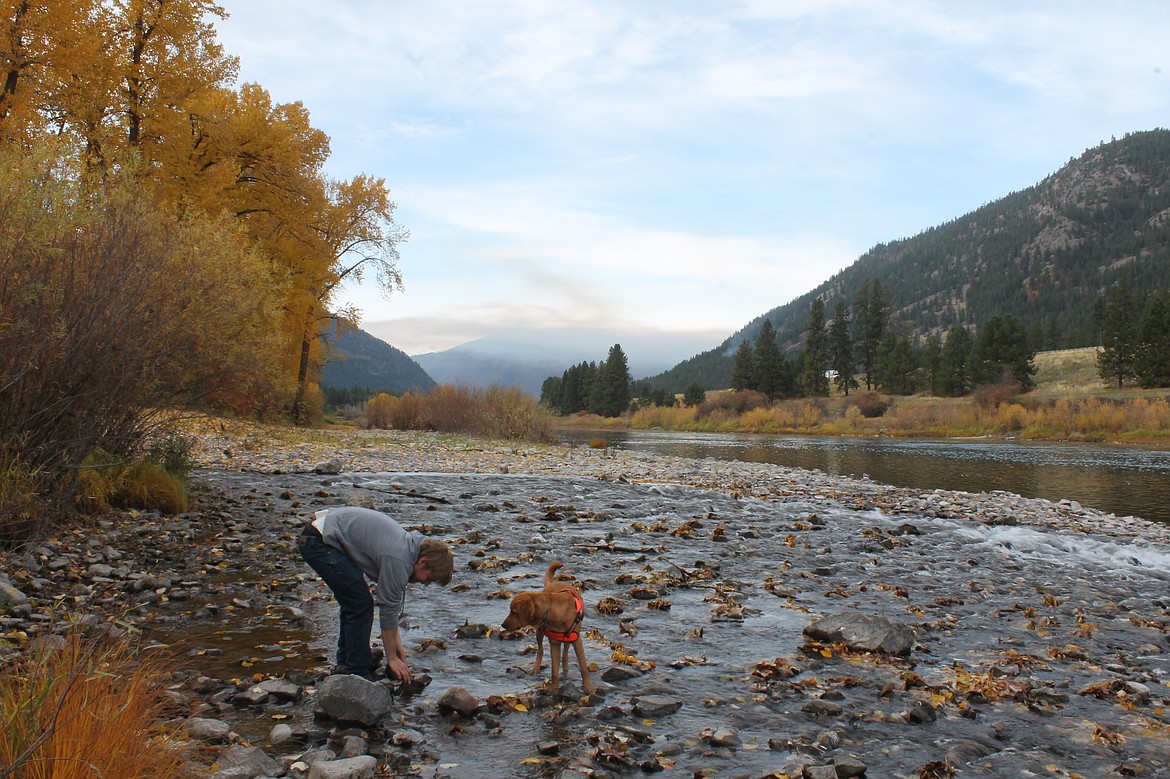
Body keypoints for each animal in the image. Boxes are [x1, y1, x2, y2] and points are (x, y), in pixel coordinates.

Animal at [500, 559, 594, 692]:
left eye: (513, 612)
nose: (503, 625)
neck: (551, 609)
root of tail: (552, 583)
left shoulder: (576, 640)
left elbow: (583, 667)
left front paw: (588, 687)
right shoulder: (554, 643)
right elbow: (554, 671)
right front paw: (554, 688)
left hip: (569, 638)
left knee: (565, 652)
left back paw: (566, 668)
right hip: (539, 631)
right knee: (540, 650)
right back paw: (536, 668)